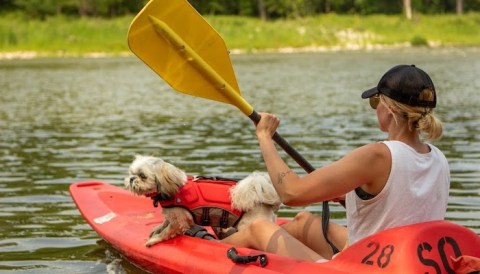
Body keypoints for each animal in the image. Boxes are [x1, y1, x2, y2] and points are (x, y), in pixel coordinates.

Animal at [124, 155, 282, 247]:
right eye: (131, 173)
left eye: (142, 176)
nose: (132, 179)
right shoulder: (172, 214)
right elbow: (164, 223)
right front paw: (156, 229)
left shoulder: (180, 221)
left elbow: (167, 231)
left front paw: (154, 240)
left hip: (248, 224)